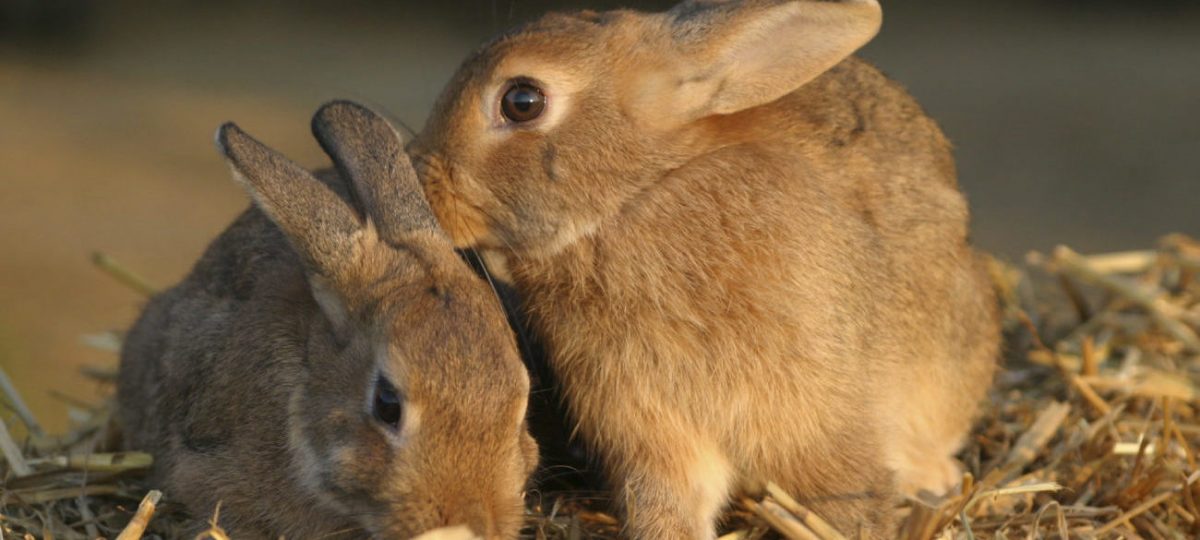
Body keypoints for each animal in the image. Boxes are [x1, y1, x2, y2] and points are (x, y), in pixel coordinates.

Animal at [408, 2, 998, 537]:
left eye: (522, 101)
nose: (422, 177)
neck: (638, 193)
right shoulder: (648, 427)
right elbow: (669, 498)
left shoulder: (820, 413)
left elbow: (847, 492)